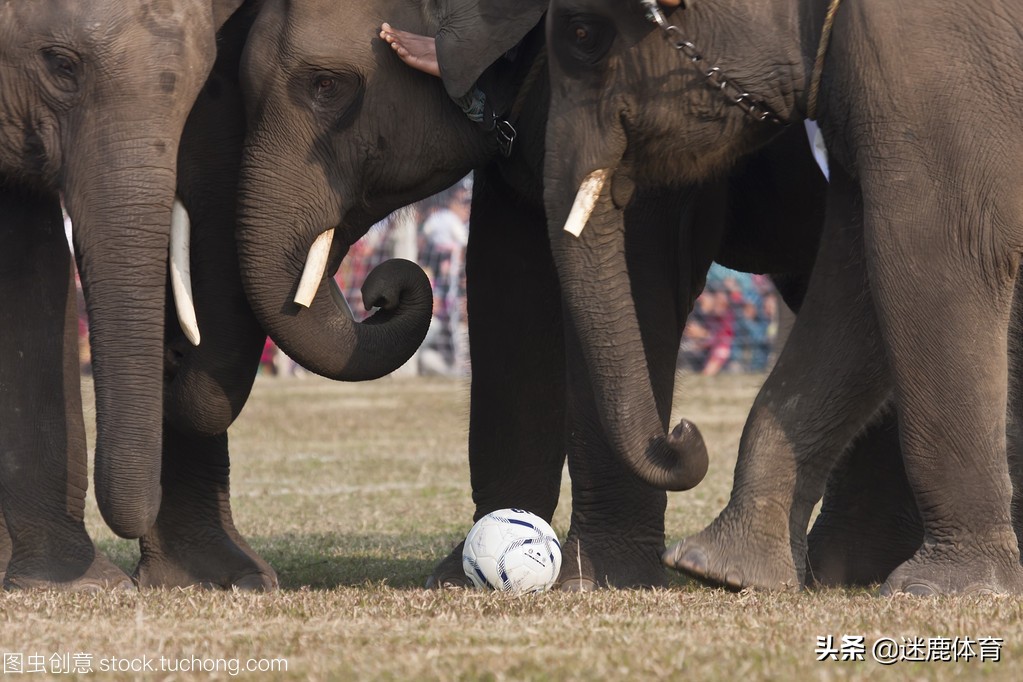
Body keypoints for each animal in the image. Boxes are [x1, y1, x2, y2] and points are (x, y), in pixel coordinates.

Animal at [235, 0, 932, 588]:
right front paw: (459, 572)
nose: (379, 292)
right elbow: (510, 289)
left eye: (326, 85)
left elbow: (636, 275)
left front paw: (595, 578)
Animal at [544, 1, 1023, 597]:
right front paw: (721, 569)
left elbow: (936, 252)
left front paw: (946, 588)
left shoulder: (939, 57)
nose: (681, 431)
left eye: (583, 34)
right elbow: (856, 277)